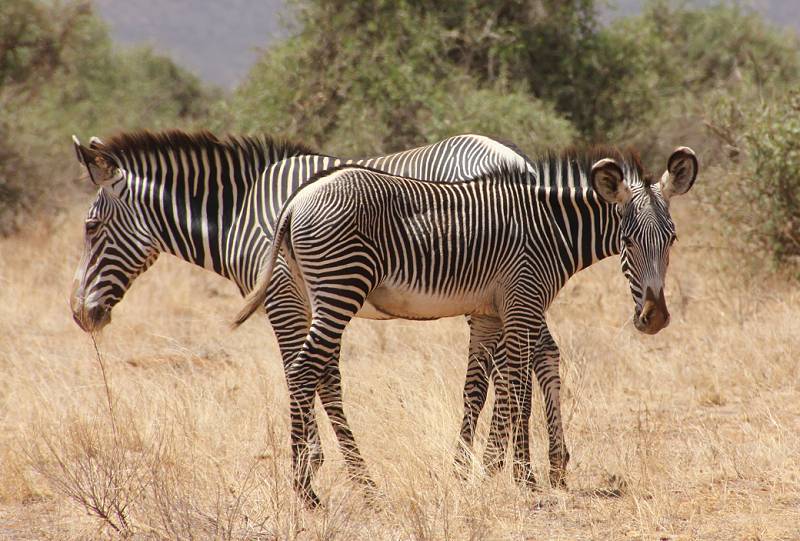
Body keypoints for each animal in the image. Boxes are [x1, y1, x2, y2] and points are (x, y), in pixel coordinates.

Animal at [69, 129, 536, 492]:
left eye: (91, 227)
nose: (78, 314)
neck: (241, 214)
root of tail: (518, 159)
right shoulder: (316, 300)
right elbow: (326, 379)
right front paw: (337, 468)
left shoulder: (284, 299)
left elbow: (306, 373)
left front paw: (318, 468)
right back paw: (512, 467)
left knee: (506, 369)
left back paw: (500, 468)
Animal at [234, 147, 696, 502]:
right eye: (627, 241)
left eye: (672, 239)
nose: (655, 318)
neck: (550, 229)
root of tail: (296, 200)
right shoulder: (523, 302)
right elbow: (520, 389)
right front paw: (524, 478)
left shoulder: (490, 314)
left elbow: (477, 389)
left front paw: (470, 472)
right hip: (340, 286)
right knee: (302, 370)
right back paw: (306, 490)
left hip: (316, 294)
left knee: (319, 374)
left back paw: (354, 484)